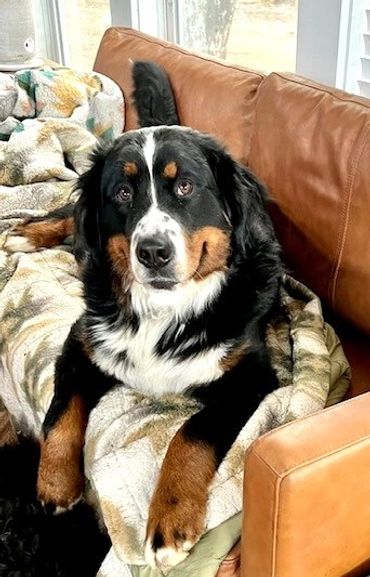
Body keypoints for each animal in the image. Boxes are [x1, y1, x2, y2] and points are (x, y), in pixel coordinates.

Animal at [5, 59, 282, 568]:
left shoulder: (250, 376)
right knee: (70, 217)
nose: (153, 252)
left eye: (186, 186)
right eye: (122, 193)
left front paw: (170, 520)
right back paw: (27, 235)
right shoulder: (81, 341)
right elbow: (59, 414)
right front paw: (54, 484)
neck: (162, 311)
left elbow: (190, 434)